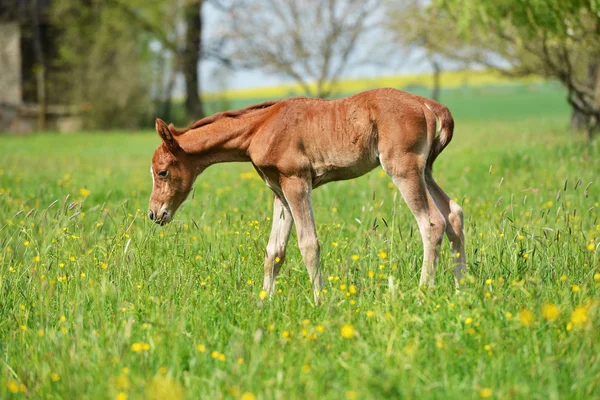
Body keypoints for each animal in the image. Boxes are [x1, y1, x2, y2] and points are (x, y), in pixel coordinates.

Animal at [148, 87, 466, 300]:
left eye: (162, 172)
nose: (154, 214)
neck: (261, 127)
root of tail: (425, 103)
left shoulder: (296, 182)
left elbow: (308, 244)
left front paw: (320, 301)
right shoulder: (279, 191)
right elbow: (275, 251)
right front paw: (264, 303)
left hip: (403, 168)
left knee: (432, 222)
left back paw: (424, 291)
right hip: (425, 170)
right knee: (454, 214)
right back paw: (461, 286)